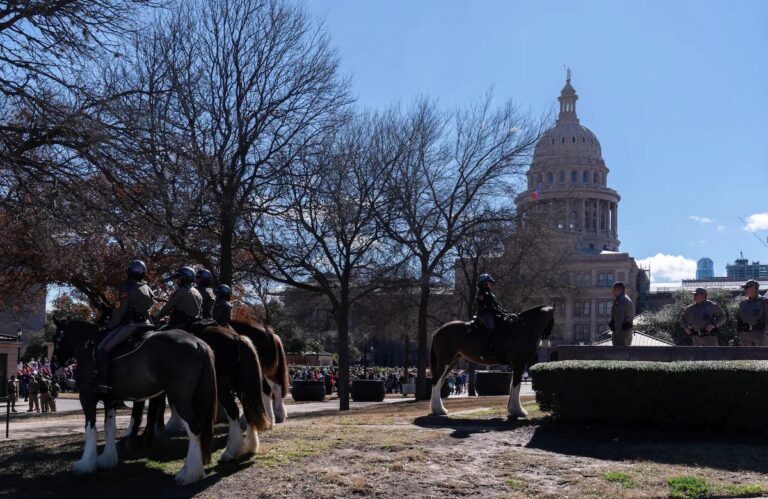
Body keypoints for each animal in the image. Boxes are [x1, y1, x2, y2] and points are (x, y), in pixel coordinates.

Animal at [50, 318, 219, 486]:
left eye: (56, 338)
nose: (52, 366)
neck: (89, 346)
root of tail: (197, 343)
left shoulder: (87, 397)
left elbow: (90, 429)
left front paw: (86, 464)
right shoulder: (110, 399)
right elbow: (109, 427)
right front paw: (107, 459)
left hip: (181, 399)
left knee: (194, 428)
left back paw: (189, 475)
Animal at [428, 304, 556, 418]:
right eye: (553, 321)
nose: (547, 344)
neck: (523, 329)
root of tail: (438, 330)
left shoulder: (516, 365)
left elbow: (513, 385)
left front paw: (512, 409)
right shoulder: (519, 363)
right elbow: (516, 384)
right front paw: (517, 411)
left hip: (452, 361)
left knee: (440, 380)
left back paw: (440, 409)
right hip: (445, 360)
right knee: (436, 380)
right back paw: (438, 409)